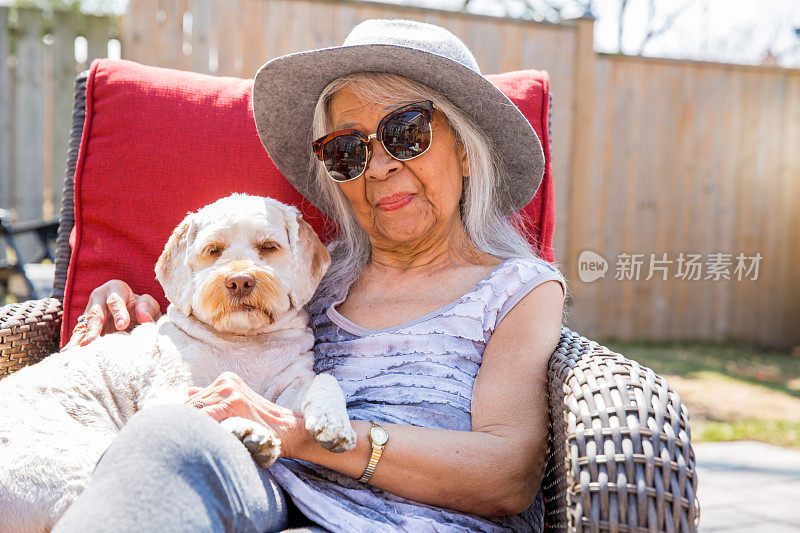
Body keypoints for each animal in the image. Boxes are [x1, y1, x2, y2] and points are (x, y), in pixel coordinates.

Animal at [0, 193, 356, 528]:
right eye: (213, 250)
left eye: (269, 247)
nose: (240, 281)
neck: (243, 342)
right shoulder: (168, 391)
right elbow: (197, 408)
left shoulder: (288, 390)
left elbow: (324, 381)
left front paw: (334, 423)